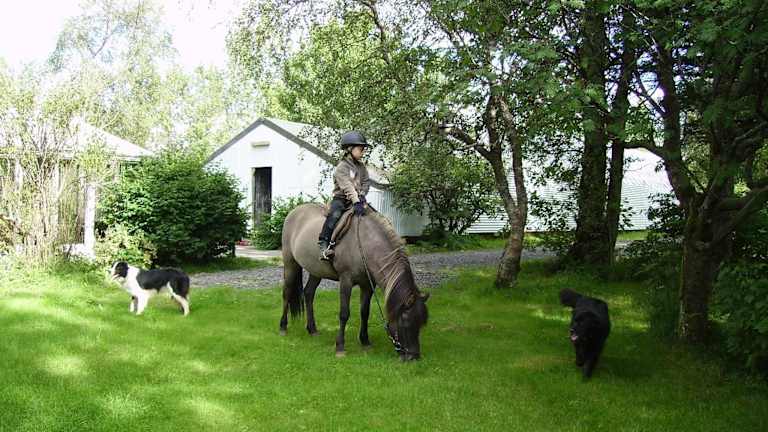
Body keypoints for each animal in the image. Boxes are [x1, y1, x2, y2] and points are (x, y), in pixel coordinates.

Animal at [279, 203, 429, 361]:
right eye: (405, 320)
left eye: (421, 323)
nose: (414, 356)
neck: (364, 243)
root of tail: (294, 211)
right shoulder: (346, 280)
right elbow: (344, 313)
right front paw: (340, 347)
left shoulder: (368, 285)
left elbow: (365, 312)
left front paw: (365, 340)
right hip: (290, 263)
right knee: (287, 293)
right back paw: (283, 327)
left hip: (316, 270)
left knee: (308, 294)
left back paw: (312, 329)